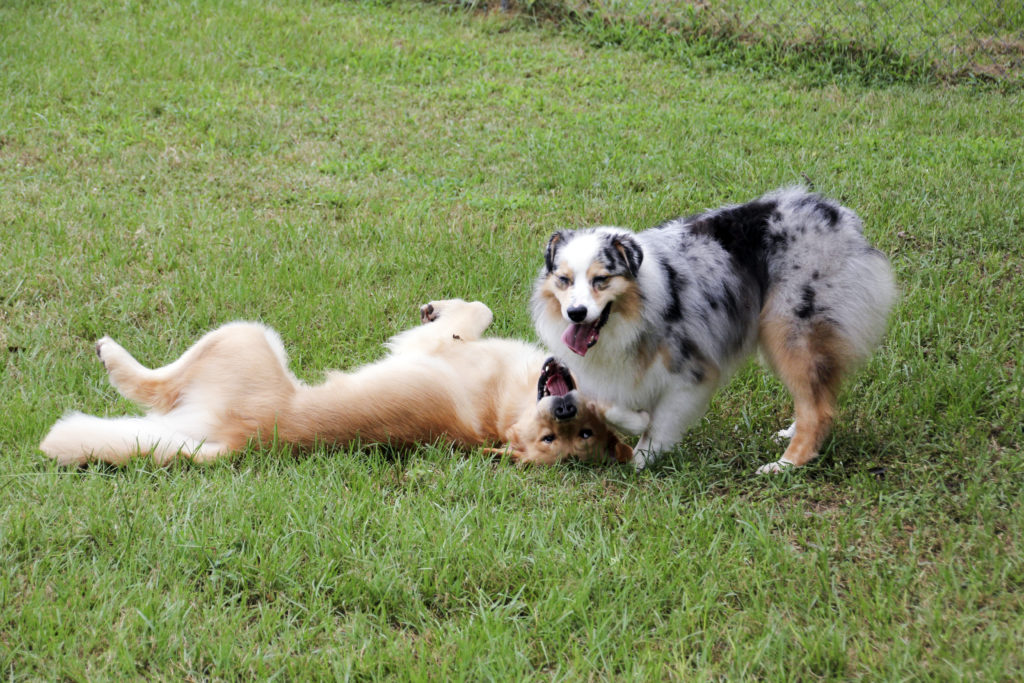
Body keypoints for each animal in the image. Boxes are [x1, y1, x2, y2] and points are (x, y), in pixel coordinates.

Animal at [41, 301, 638, 466]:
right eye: (570, 435)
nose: (565, 412)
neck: (507, 412)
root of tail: (241, 441)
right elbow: (479, 310)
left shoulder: (440, 347)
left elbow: (466, 317)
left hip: (244, 337)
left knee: (152, 387)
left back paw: (113, 355)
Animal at [532, 188, 892, 475]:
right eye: (563, 280)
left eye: (601, 279)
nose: (576, 313)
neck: (632, 312)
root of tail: (834, 213)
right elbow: (600, 402)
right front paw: (634, 420)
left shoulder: (691, 372)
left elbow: (657, 426)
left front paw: (639, 458)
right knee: (815, 397)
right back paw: (792, 433)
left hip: (788, 330)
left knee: (819, 409)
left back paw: (787, 464)